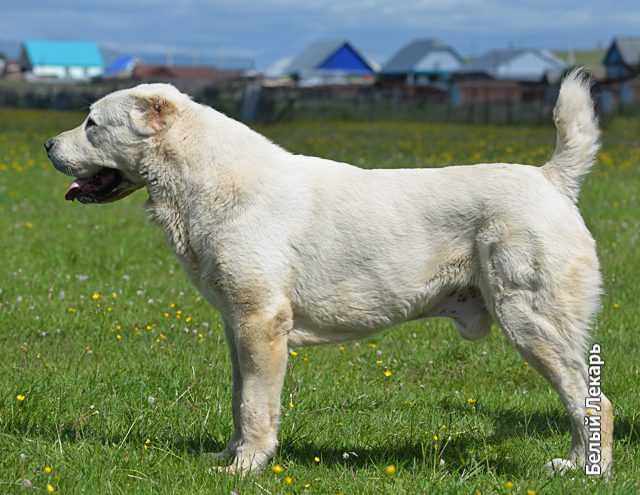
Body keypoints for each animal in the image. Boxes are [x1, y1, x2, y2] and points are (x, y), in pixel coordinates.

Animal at [43, 69, 608, 476]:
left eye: (91, 123)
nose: (48, 145)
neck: (201, 179)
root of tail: (550, 179)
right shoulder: (236, 326)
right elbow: (239, 399)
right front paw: (228, 456)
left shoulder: (260, 322)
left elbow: (256, 404)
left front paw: (246, 468)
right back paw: (571, 464)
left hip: (531, 319)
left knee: (591, 402)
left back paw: (588, 472)